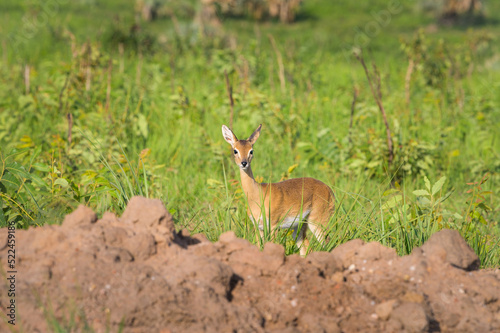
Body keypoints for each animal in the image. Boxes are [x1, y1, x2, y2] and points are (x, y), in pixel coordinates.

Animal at [221, 123, 334, 255]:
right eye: (235, 150)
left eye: (251, 150)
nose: (244, 163)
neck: (257, 195)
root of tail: (329, 190)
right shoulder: (258, 227)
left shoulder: (273, 226)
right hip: (300, 225)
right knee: (306, 248)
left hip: (318, 221)